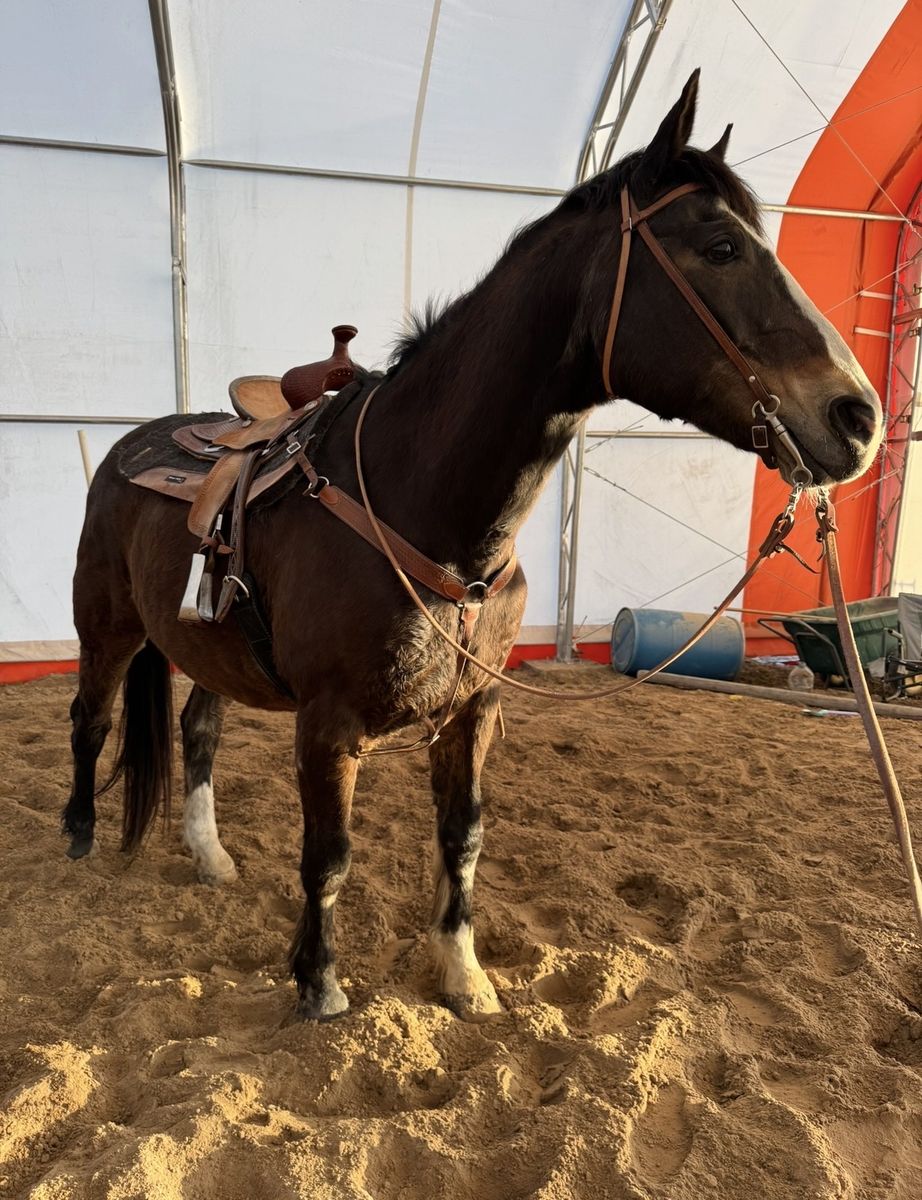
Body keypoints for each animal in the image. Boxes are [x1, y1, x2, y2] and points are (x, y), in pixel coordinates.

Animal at [64, 72, 881, 1022]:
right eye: (718, 247)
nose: (857, 418)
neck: (427, 504)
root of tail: (130, 446)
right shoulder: (328, 724)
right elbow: (329, 856)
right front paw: (319, 983)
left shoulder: (473, 713)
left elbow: (463, 837)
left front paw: (463, 974)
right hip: (109, 627)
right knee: (91, 719)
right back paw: (79, 834)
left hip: (207, 644)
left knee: (197, 729)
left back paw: (209, 854)